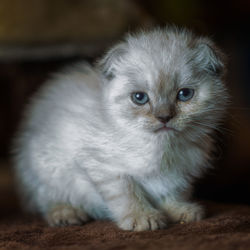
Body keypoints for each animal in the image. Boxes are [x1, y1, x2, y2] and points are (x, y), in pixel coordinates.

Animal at [13, 26, 229, 231]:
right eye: (139, 98)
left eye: (184, 94)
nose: (164, 117)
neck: (162, 150)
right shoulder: (105, 167)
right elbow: (128, 194)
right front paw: (142, 218)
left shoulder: (179, 174)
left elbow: (171, 192)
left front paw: (179, 210)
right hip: (45, 166)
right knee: (46, 198)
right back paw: (66, 213)